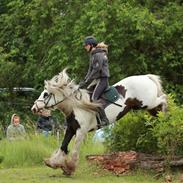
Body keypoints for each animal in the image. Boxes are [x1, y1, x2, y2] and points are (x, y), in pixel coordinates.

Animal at [31, 69, 167, 176]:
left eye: (46, 94)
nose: (34, 108)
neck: (76, 106)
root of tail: (146, 77)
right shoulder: (71, 129)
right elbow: (63, 146)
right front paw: (53, 163)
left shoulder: (81, 131)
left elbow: (74, 150)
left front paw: (70, 167)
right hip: (146, 107)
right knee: (158, 108)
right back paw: (162, 119)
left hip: (147, 103)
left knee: (163, 98)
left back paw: (166, 113)